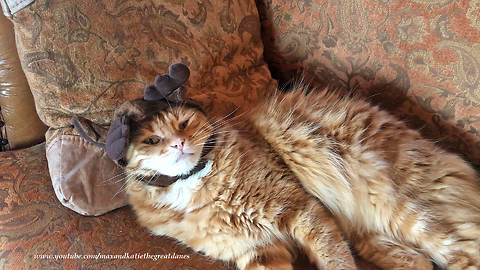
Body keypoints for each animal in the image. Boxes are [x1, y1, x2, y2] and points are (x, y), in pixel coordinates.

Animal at [116, 99, 356, 270]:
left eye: (183, 124)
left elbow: (336, 259)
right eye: (152, 140)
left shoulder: (300, 208)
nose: (178, 143)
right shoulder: (257, 250)